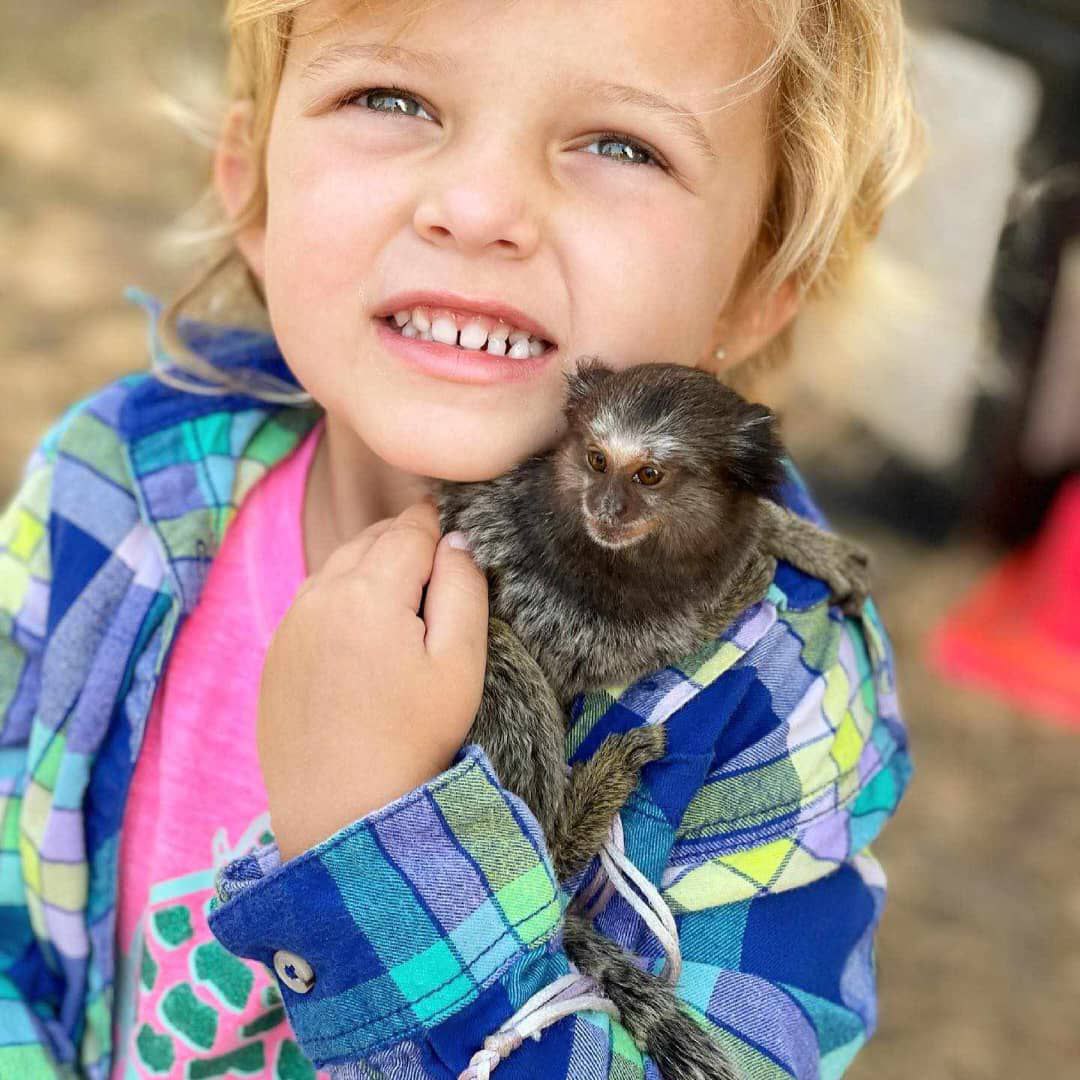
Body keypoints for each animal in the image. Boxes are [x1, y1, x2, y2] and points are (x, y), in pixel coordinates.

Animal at [434, 362, 872, 1080]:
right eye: (596, 460)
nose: (605, 509)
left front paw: (788, 536)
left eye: (648, 476)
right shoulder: (534, 571)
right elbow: (610, 641)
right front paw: (743, 580)